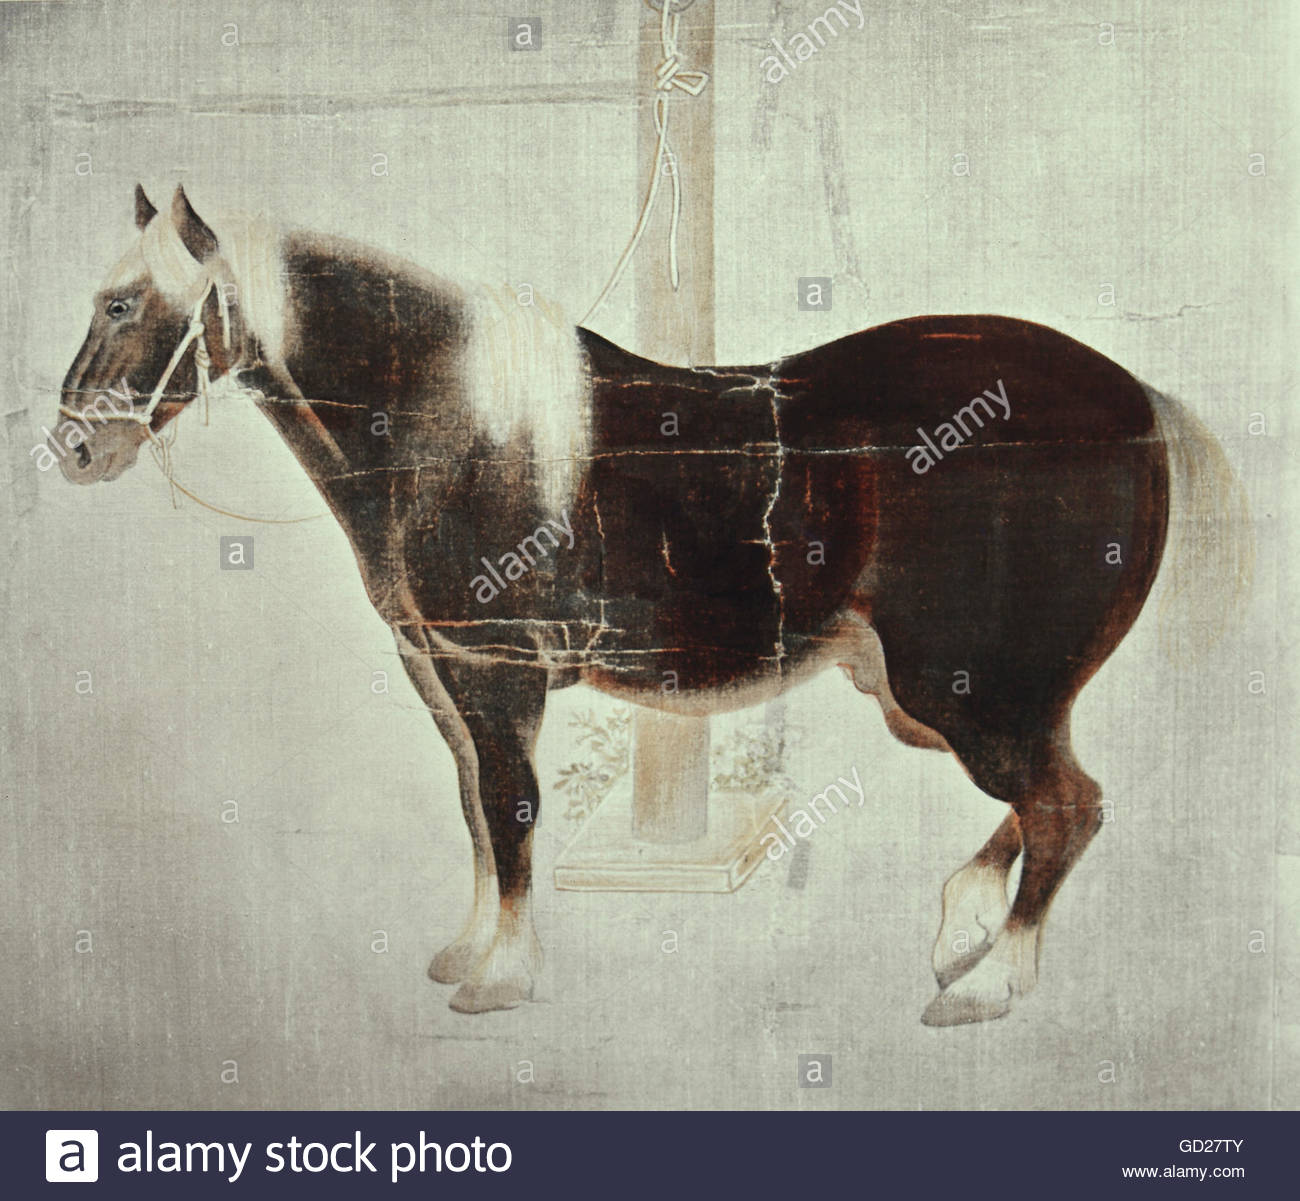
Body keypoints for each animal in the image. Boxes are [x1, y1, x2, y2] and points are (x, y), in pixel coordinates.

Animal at [50, 185, 1247, 1024]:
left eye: (123, 301)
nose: (70, 449)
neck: (454, 429)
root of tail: (1140, 405)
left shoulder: (496, 674)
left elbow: (511, 811)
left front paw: (501, 977)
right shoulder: (441, 674)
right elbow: (474, 810)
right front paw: (469, 949)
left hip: (969, 689)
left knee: (1064, 804)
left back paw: (990, 982)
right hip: (947, 695)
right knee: (1052, 803)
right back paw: (963, 930)